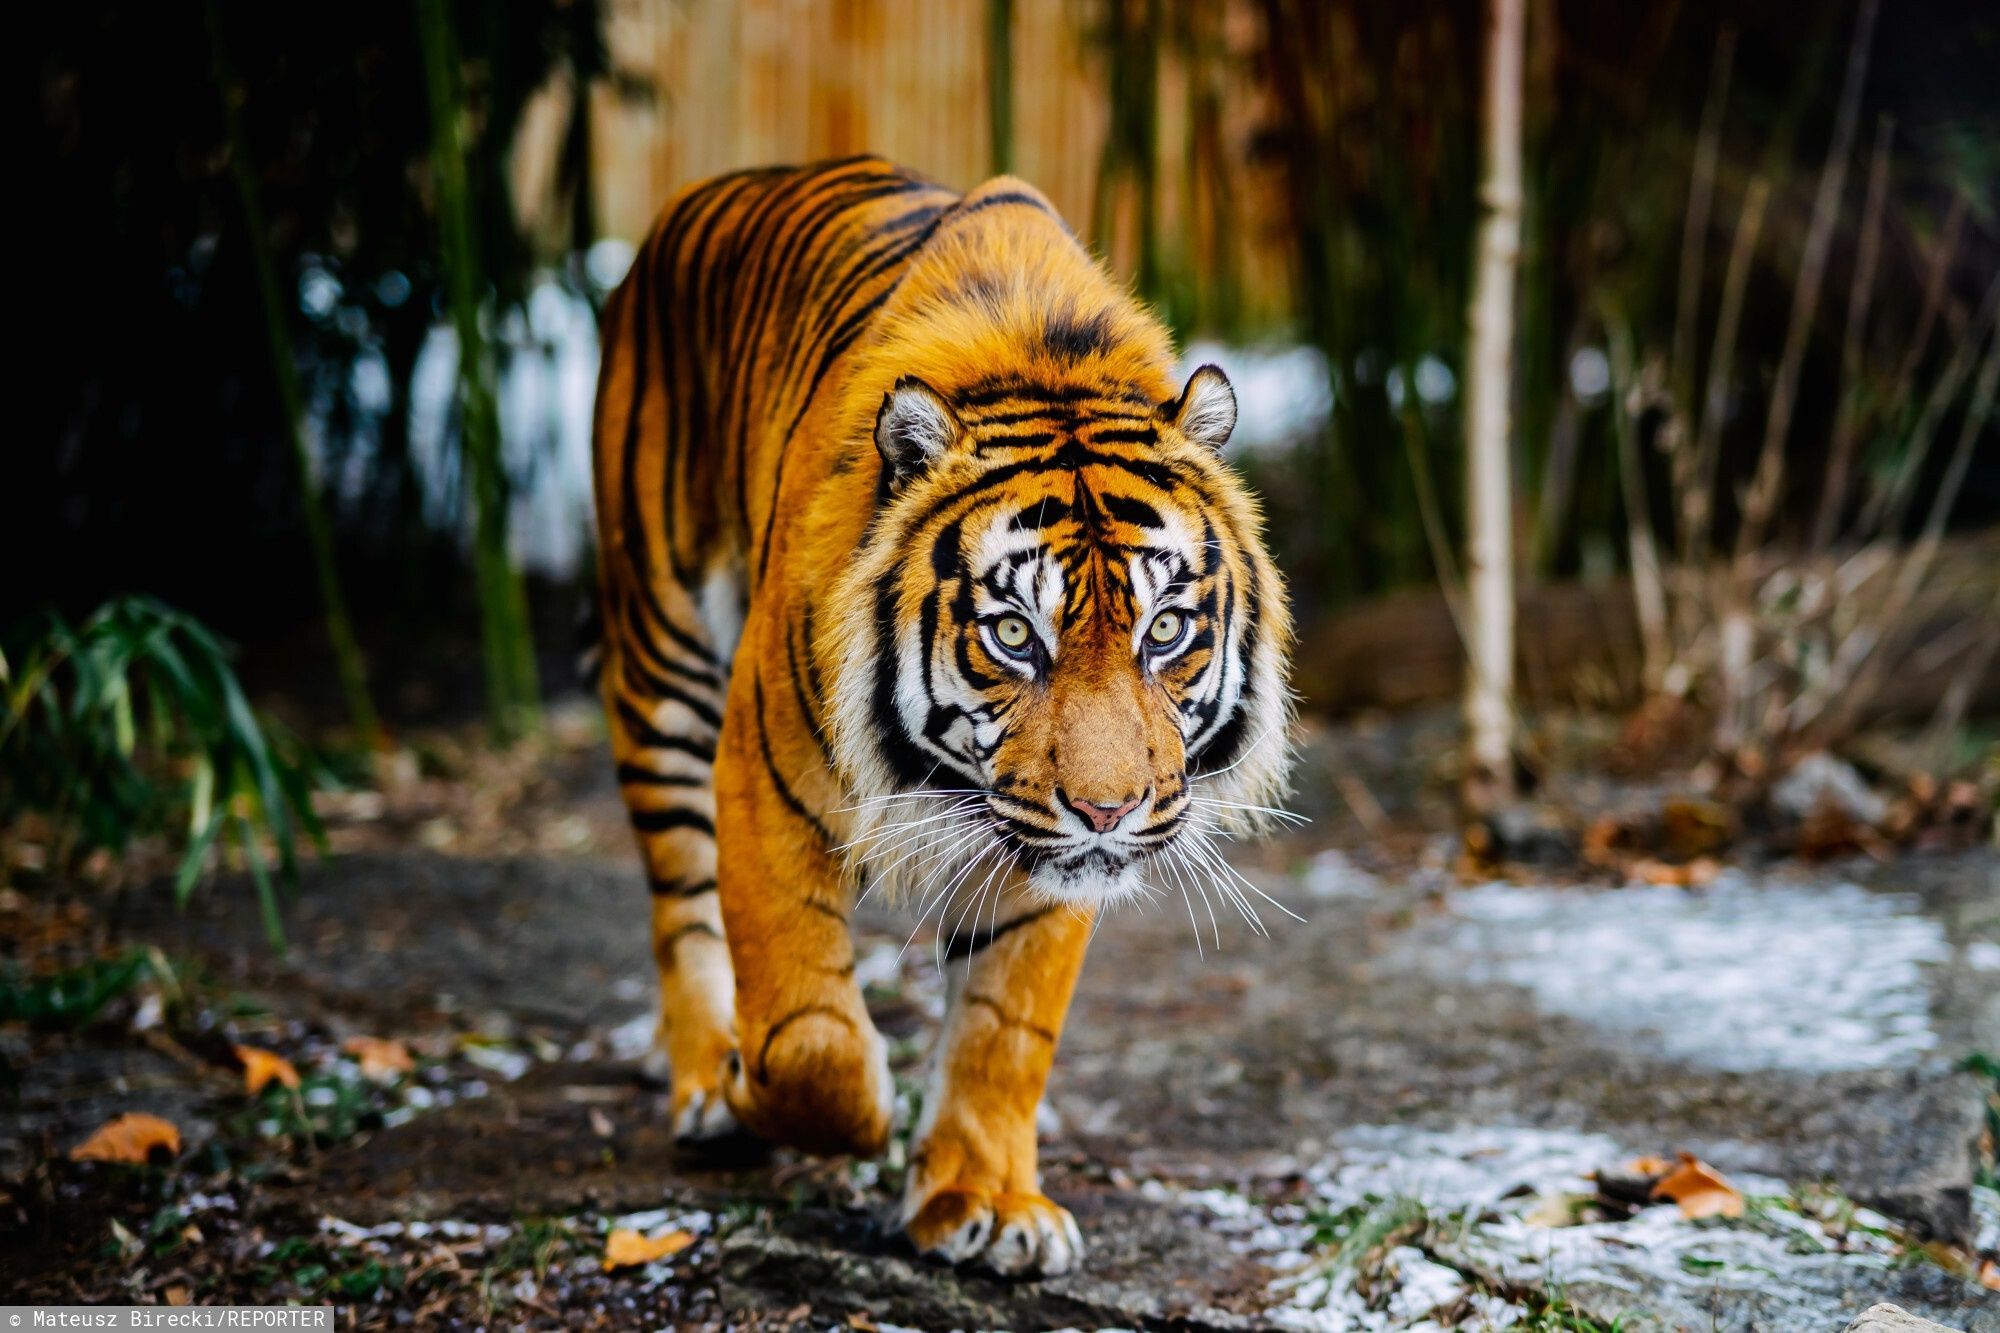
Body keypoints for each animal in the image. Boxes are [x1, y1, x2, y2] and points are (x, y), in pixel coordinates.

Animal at [591, 155, 1292, 1277]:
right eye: (1012, 634)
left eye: (1165, 629)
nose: (1109, 811)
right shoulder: (764, 778)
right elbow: (805, 1031)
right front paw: (773, 1086)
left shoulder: (1043, 853)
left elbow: (1004, 1030)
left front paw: (983, 1201)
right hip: (663, 660)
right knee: (681, 907)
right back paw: (706, 1078)